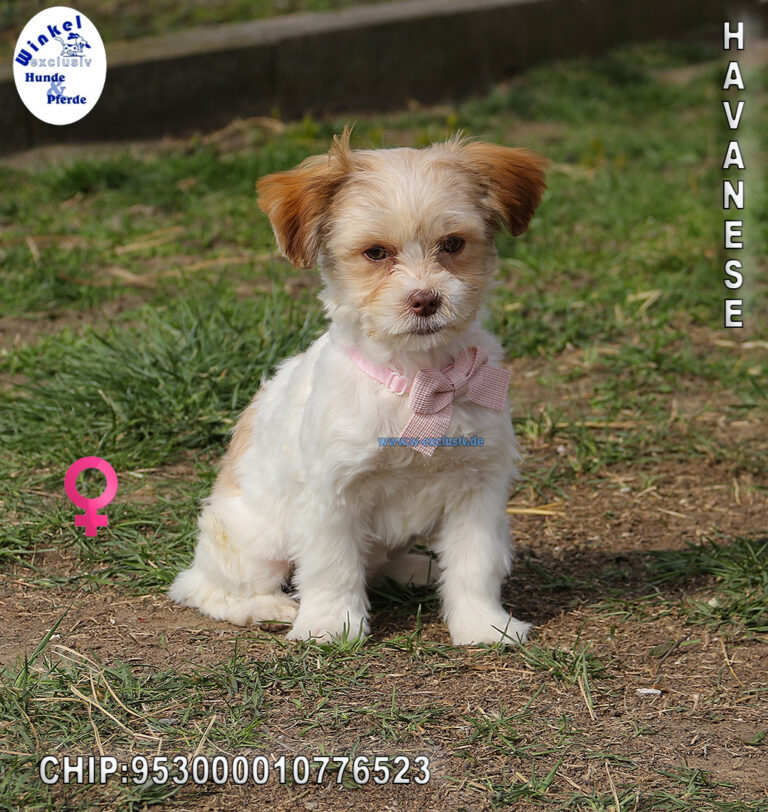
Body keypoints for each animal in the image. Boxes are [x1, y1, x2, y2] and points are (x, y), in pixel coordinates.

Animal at [169, 130, 547, 644]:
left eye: (452, 243)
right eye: (375, 253)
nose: (426, 299)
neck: (418, 380)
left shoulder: (478, 486)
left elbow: (475, 563)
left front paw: (483, 624)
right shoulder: (332, 496)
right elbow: (333, 569)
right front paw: (331, 626)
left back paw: (416, 569)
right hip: (256, 541)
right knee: (207, 588)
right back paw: (268, 607)